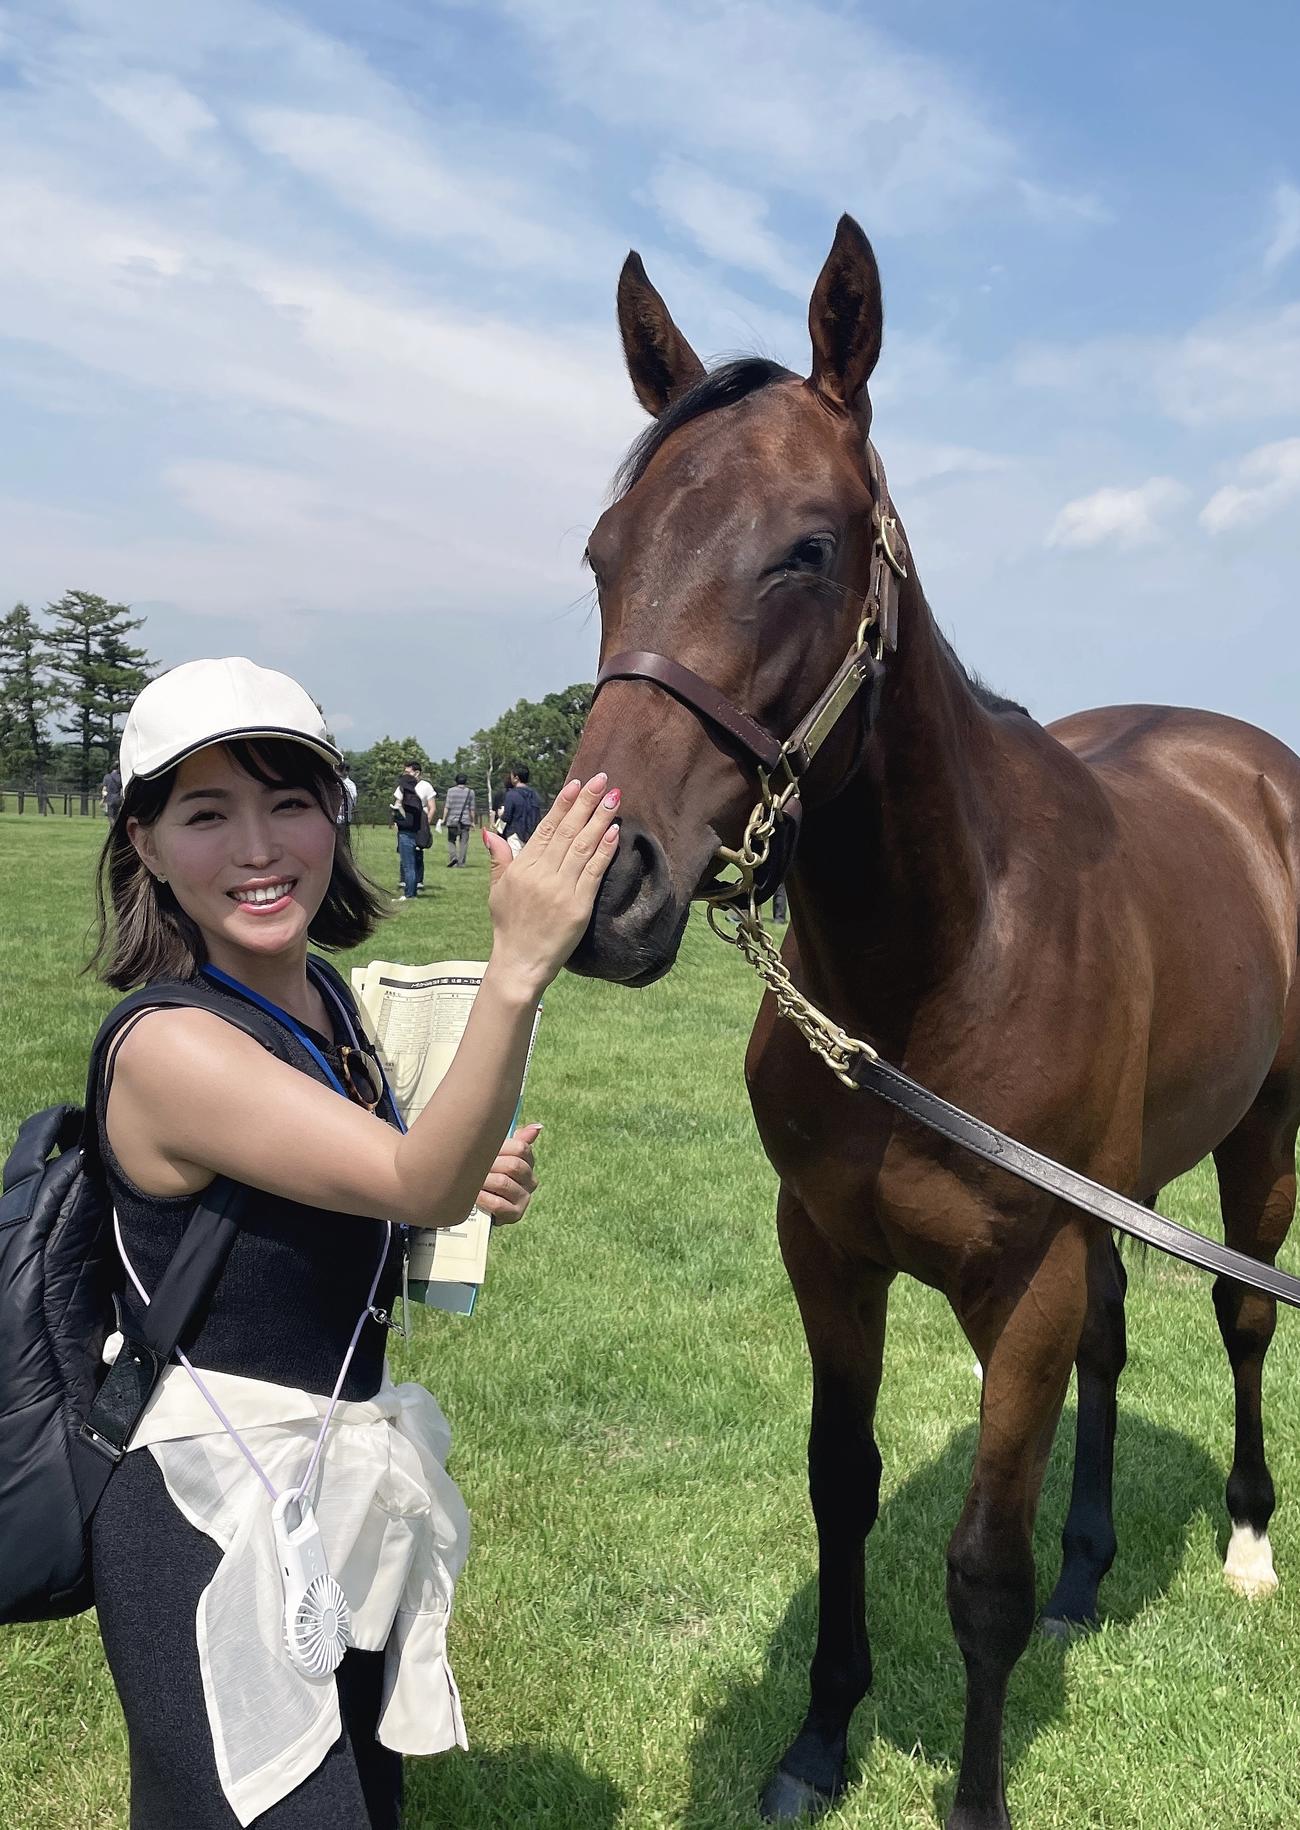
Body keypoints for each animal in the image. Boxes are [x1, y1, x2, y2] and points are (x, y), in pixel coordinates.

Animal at [565, 215, 1300, 1828]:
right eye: (603, 554)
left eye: (806, 547)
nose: (602, 890)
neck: (934, 969)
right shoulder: (829, 1252)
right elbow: (839, 1486)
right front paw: (818, 1736)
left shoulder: (1017, 1286)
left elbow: (979, 1571)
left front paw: (971, 1796)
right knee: (1114, 1343)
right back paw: (1095, 1570)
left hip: (1262, 1140)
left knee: (1237, 1316)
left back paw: (1244, 1540)